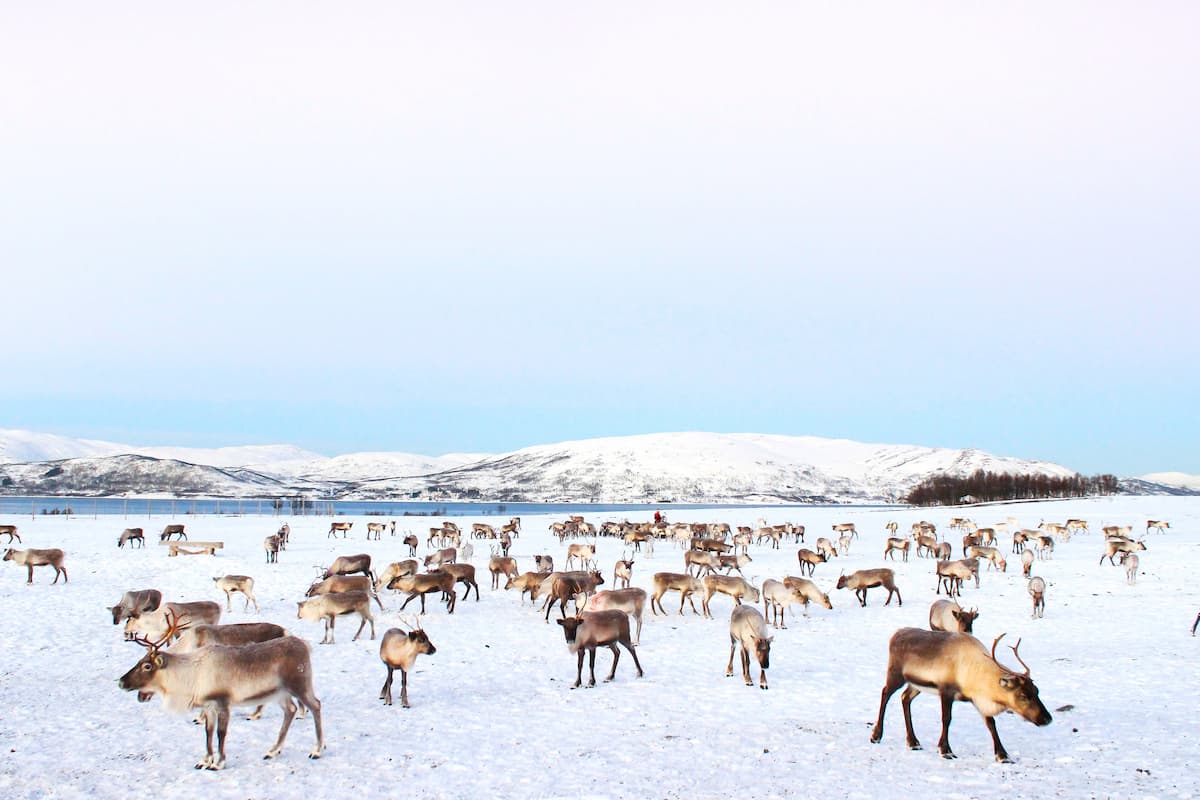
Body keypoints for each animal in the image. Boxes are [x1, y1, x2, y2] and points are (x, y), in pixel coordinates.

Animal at [118, 612, 324, 770]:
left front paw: (219, 762)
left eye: (147, 666)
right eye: (139, 661)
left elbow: (220, 733)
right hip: (279, 692)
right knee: (290, 710)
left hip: (300, 684)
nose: (121, 682)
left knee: (316, 705)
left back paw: (317, 750)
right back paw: (273, 750)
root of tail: (305, 645)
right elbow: (208, 733)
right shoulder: (209, 705)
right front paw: (205, 760)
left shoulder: (223, 702)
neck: (189, 677)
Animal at [870, 629, 1052, 762]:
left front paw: (1002, 755)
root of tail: (895, 634)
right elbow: (946, 719)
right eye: (1022, 695)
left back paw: (913, 742)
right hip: (896, 675)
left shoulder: (978, 700)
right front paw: (945, 750)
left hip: (915, 684)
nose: (1047, 719)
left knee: (905, 698)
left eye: (1037, 691)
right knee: (885, 693)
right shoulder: (946, 690)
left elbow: (991, 723)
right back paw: (876, 735)